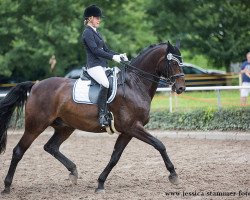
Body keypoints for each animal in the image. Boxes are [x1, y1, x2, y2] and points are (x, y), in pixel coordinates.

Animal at [0, 41, 186, 194]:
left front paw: (100, 183)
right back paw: (7, 186)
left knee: (51, 147)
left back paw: (73, 172)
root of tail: (36, 84)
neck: (134, 85)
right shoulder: (133, 127)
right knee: (18, 151)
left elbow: (115, 157)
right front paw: (173, 175)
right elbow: (159, 145)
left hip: (65, 127)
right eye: (174, 62)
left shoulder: (128, 131)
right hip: (35, 126)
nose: (181, 88)